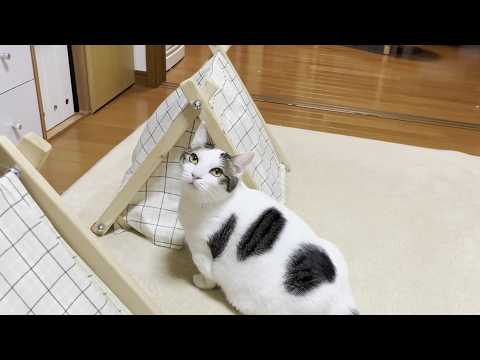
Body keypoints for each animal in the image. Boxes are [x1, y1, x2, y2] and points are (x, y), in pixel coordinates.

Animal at [178, 122, 358, 314]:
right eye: (194, 158)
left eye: (217, 172)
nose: (195, 175)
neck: (199, 203)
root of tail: (339, 302)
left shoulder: (201, 252)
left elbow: (208, 274)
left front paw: (201, 282)